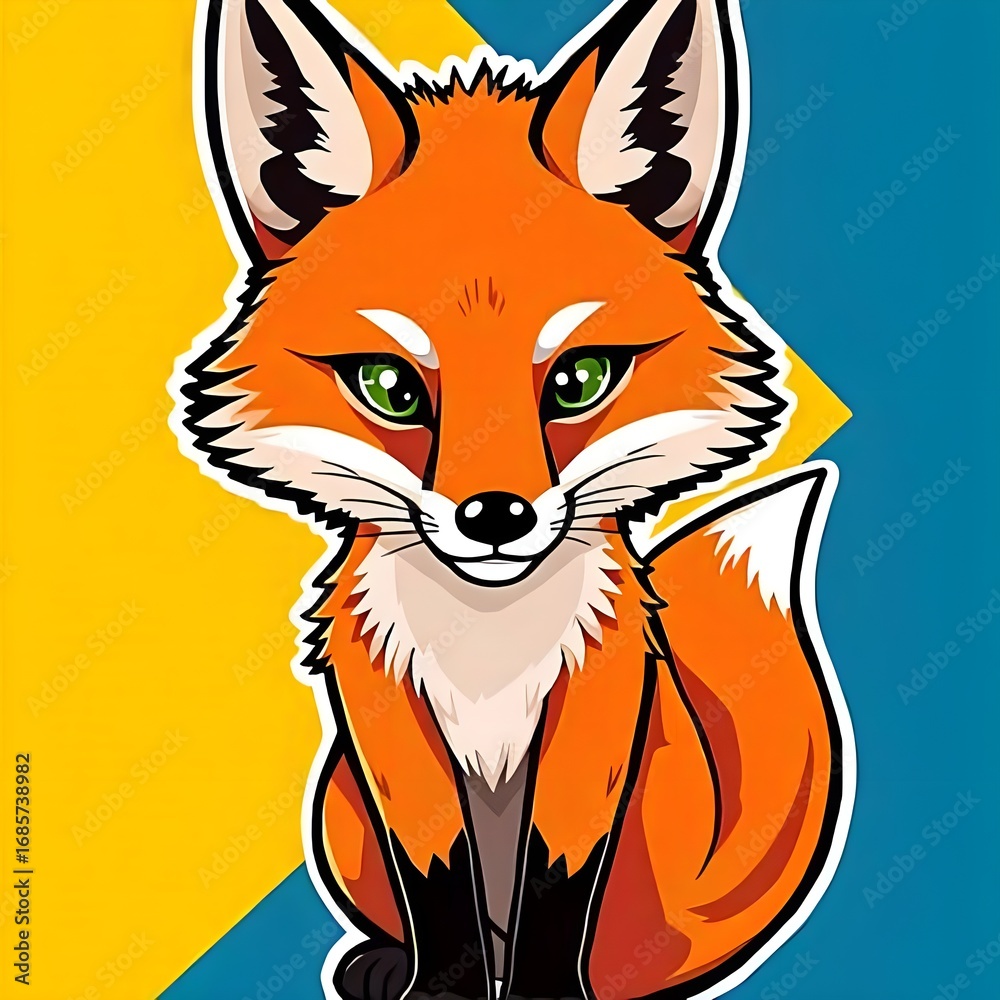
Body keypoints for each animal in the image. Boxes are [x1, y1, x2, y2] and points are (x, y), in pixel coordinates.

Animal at [171, 1, 855, 998]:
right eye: (389, 387)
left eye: (578, 380)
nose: (496, 518)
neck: (488, 647)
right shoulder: (385, 713)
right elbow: (440, 880)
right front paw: (439, 985)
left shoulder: (599, 700)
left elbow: (557, 880)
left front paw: (538, 990)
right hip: (339, 813)